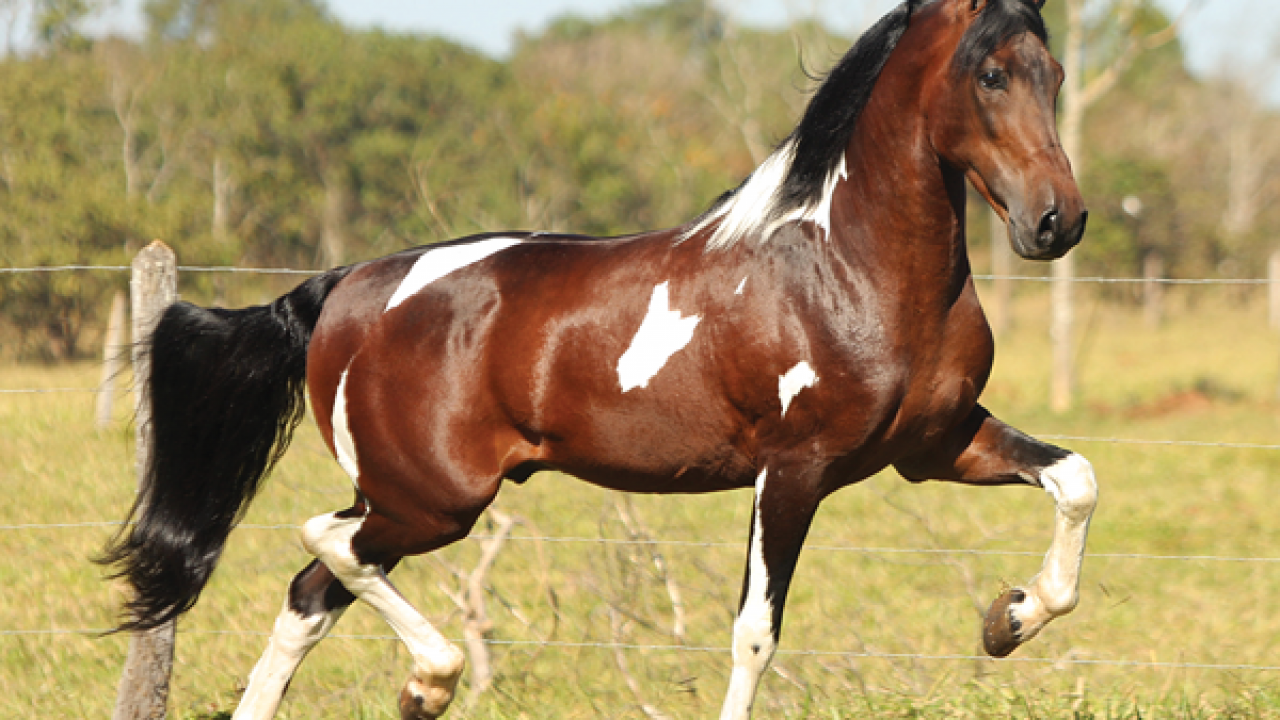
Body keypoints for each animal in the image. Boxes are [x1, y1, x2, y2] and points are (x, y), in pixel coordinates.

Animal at [100, 0, 1093, 717]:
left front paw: (1009, 619)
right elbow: (755, 634)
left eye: (1054, 74)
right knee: (327, 545)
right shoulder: (794, 471)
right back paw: (431, 680)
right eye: (991, 73)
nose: (1057, 221)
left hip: (405, 497)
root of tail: (342, 288)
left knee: (310, 591)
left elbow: (1075, 479)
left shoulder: (935, 447)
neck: (847, 267)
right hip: (433, 499)